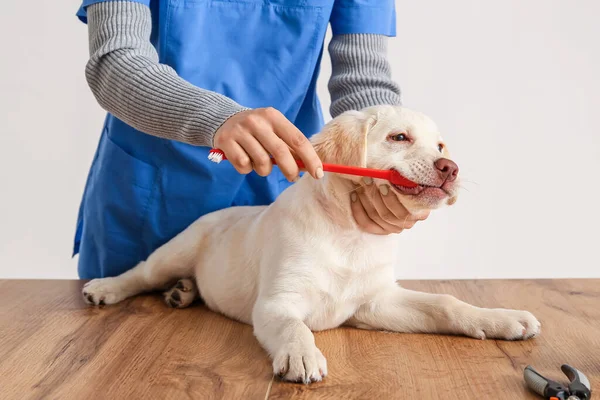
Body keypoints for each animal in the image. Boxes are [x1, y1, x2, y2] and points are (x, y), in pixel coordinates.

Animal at [81, 105, 540, 384]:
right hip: (176, 249)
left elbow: (446, 302)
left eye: (441, 146)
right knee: (141, 273)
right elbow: (294, 326)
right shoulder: (276, 303)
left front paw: (501, 319)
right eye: (400, 138)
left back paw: (183, 292)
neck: (351, 234)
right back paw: (106, 287)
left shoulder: (376, 301)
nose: (451, 168)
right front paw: (302, 356)